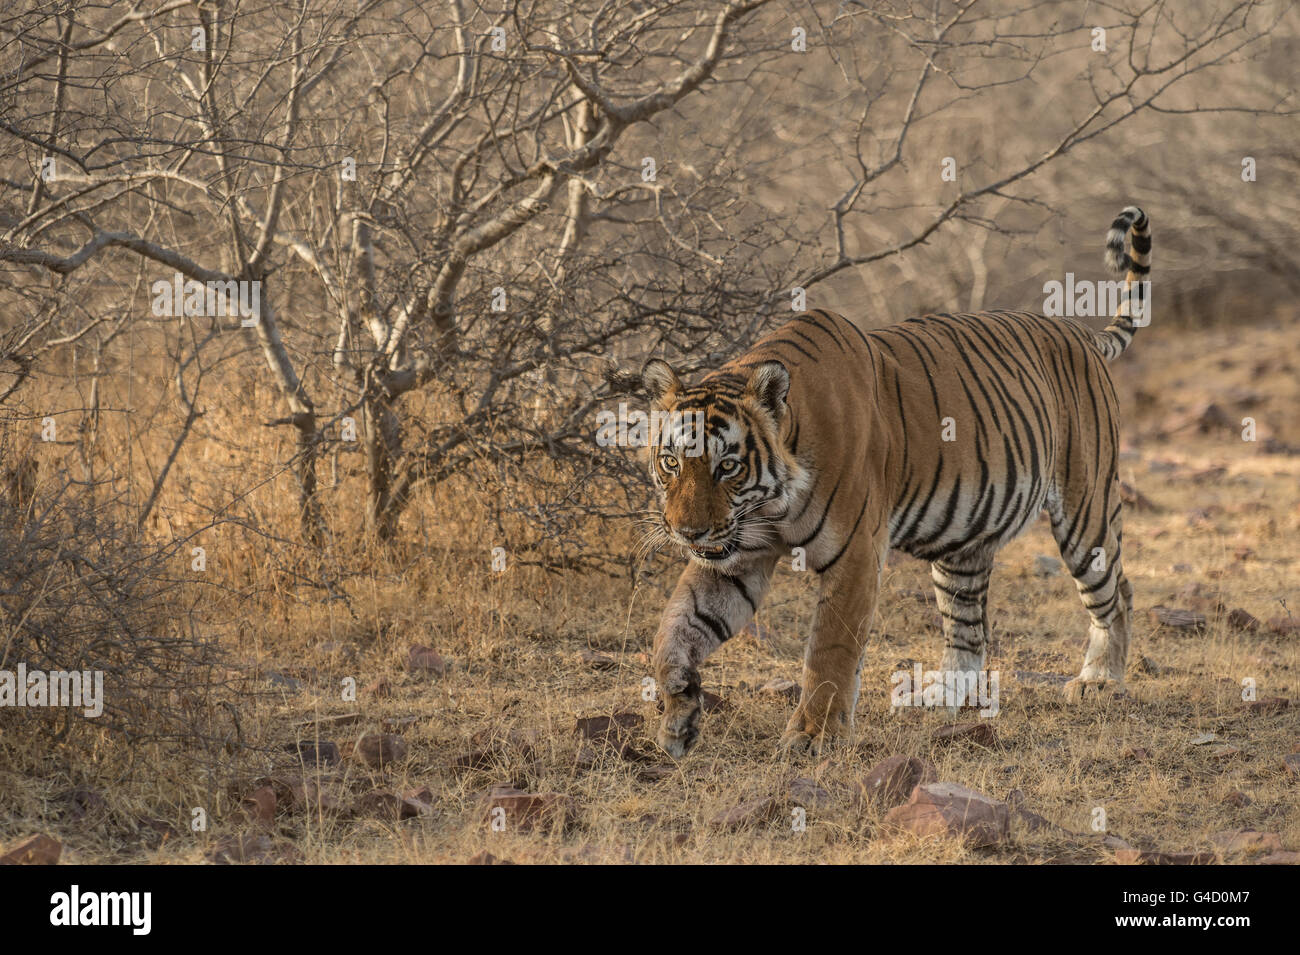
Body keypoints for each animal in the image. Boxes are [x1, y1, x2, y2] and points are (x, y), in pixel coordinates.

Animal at [639, 205, 1149, 758]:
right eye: (671, 463)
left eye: (728, 467)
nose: (686, 532)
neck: (770, 503)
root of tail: (1078, 331)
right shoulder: (737, 557)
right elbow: (673, 630)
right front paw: (678, 714)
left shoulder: (856, 553)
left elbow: (830, 649)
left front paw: (813, 736)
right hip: (963, 546)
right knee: (968, 628)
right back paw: (941, 697)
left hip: (1085, 510)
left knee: (1117, 590)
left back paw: (1100, 681)